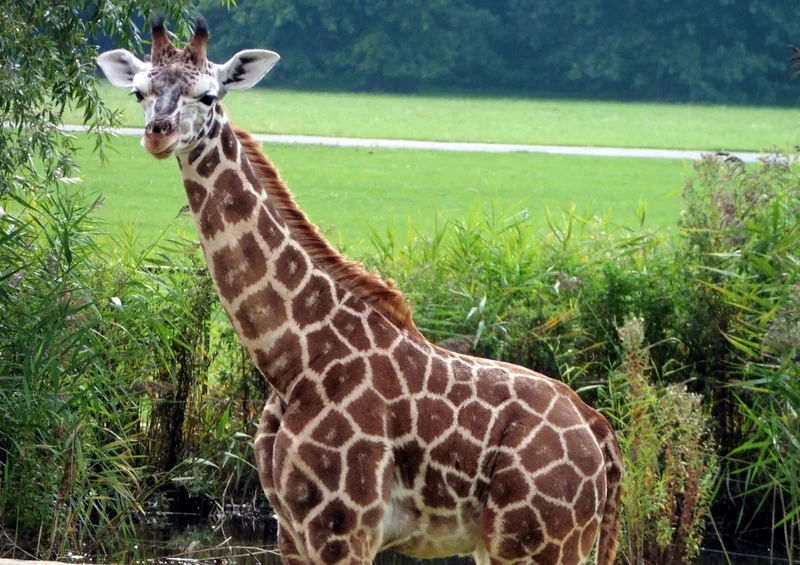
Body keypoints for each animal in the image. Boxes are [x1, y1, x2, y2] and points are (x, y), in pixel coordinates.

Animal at [96, 15, 623, 565]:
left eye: (209, 95)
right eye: (139, 91)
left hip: (533, 543)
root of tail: (601, 435)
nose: (158, 134)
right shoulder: (289, 530)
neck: (290, 360)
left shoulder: (344, 526)